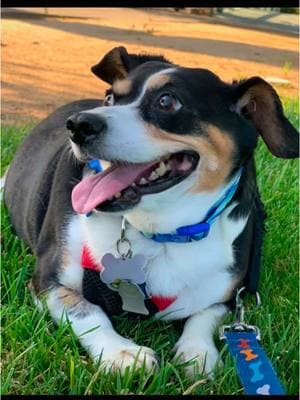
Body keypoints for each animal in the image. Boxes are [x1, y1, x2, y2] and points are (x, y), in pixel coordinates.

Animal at [3, 45, 298, 376]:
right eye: (109, 97)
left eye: (167, 101)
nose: (78, 125)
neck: (162, 231)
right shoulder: (48, 281)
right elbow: (88, 312)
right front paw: (121, 353)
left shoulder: (229, 295)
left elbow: (204, 316)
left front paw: (198, 352)